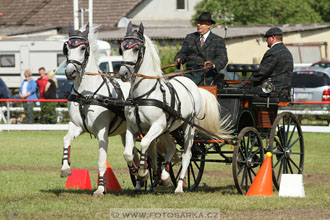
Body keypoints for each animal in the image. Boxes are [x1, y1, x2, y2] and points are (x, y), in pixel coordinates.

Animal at [59, 24, 133, 198]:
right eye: (67, 48)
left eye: (83, 47)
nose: (70, 72)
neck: (87, 94)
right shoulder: (78, 126)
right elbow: (66, 139)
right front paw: (65, 168)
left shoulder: (102, 131)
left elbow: (101, 160)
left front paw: (100, 189)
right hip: (124, 133)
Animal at [117, 22, 233, 193]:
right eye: (122, 48)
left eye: (136, 49)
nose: (123, 74)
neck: (144, 94)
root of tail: (193, 85)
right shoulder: (133, 127)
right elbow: (128, 153)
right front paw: (142, 176)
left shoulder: (157, 125)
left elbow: (144, 144)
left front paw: (143, 173)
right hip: (168, 129)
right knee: (172, 148)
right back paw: (165, 176)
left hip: (188, 127)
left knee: (187, 155)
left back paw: (179, 186)